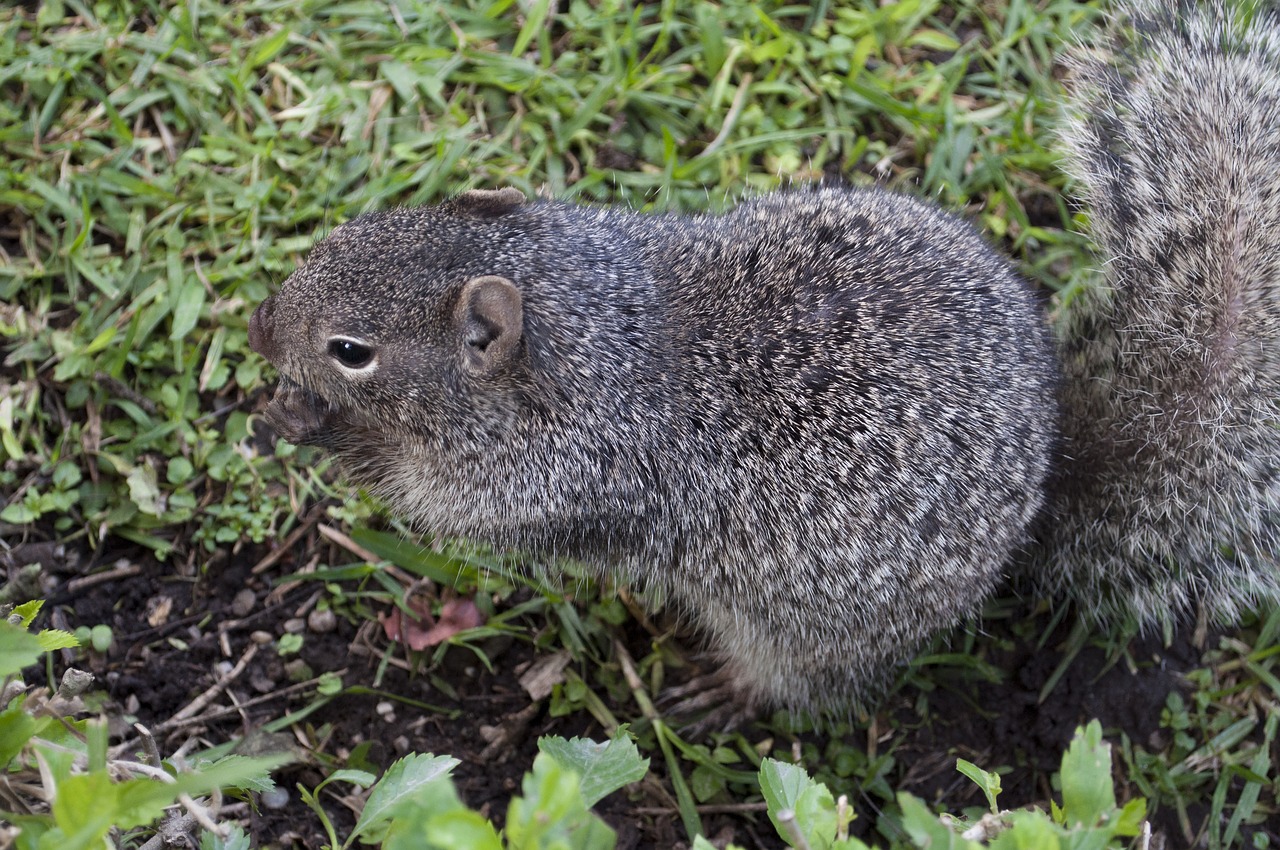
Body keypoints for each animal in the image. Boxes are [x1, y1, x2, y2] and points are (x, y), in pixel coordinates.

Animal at [249, 3, 1280, 721]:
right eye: (357, 227)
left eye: (352, 351)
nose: (259, 328)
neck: (599, 332)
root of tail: (1044, 482)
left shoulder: (562, 480)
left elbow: (443, 509)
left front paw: (317, 426)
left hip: (814, 628)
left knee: (804, 681)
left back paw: (730, 690)